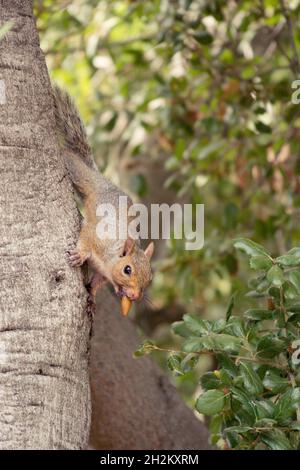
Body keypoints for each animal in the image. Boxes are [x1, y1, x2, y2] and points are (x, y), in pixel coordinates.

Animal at [52, 88, 154, 316]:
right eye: (127, 269)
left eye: (151, 277)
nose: (135, 296)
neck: (110, 259)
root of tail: (101, 178)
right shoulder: (97, 234)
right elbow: (85, 236)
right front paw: (79, 255)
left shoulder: (103, 274)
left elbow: (97, 282)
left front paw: (91, 296)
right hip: (80, 175)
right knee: (70, 159)